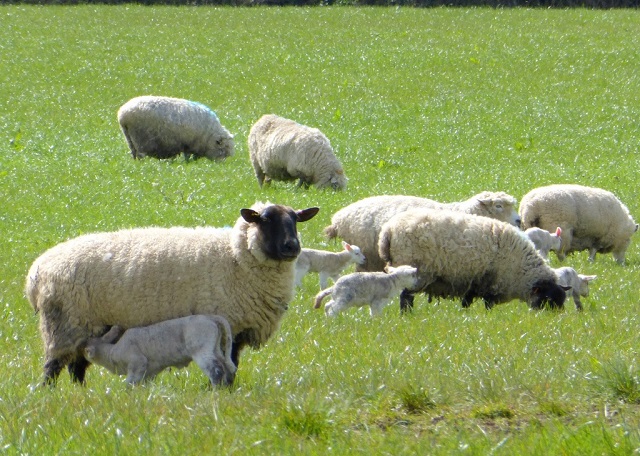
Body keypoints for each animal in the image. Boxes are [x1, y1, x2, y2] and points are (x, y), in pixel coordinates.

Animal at [83, 315, 237, 386]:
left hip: (201, 349)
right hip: (215, 347)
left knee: (216, 370)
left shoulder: (137, 363)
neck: (112, 352)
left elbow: (130, 383)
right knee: (226, 366)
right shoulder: (150, 371)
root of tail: (211, 317)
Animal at [378, 209, 569, 312]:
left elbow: (466, 302)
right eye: (548, 299)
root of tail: (388, 231)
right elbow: (486, 305)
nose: (553, 319)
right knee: (406, 297)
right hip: (414, 271)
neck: (519, 269)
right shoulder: (488, 283)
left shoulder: (472, 281)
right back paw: (407, 315)